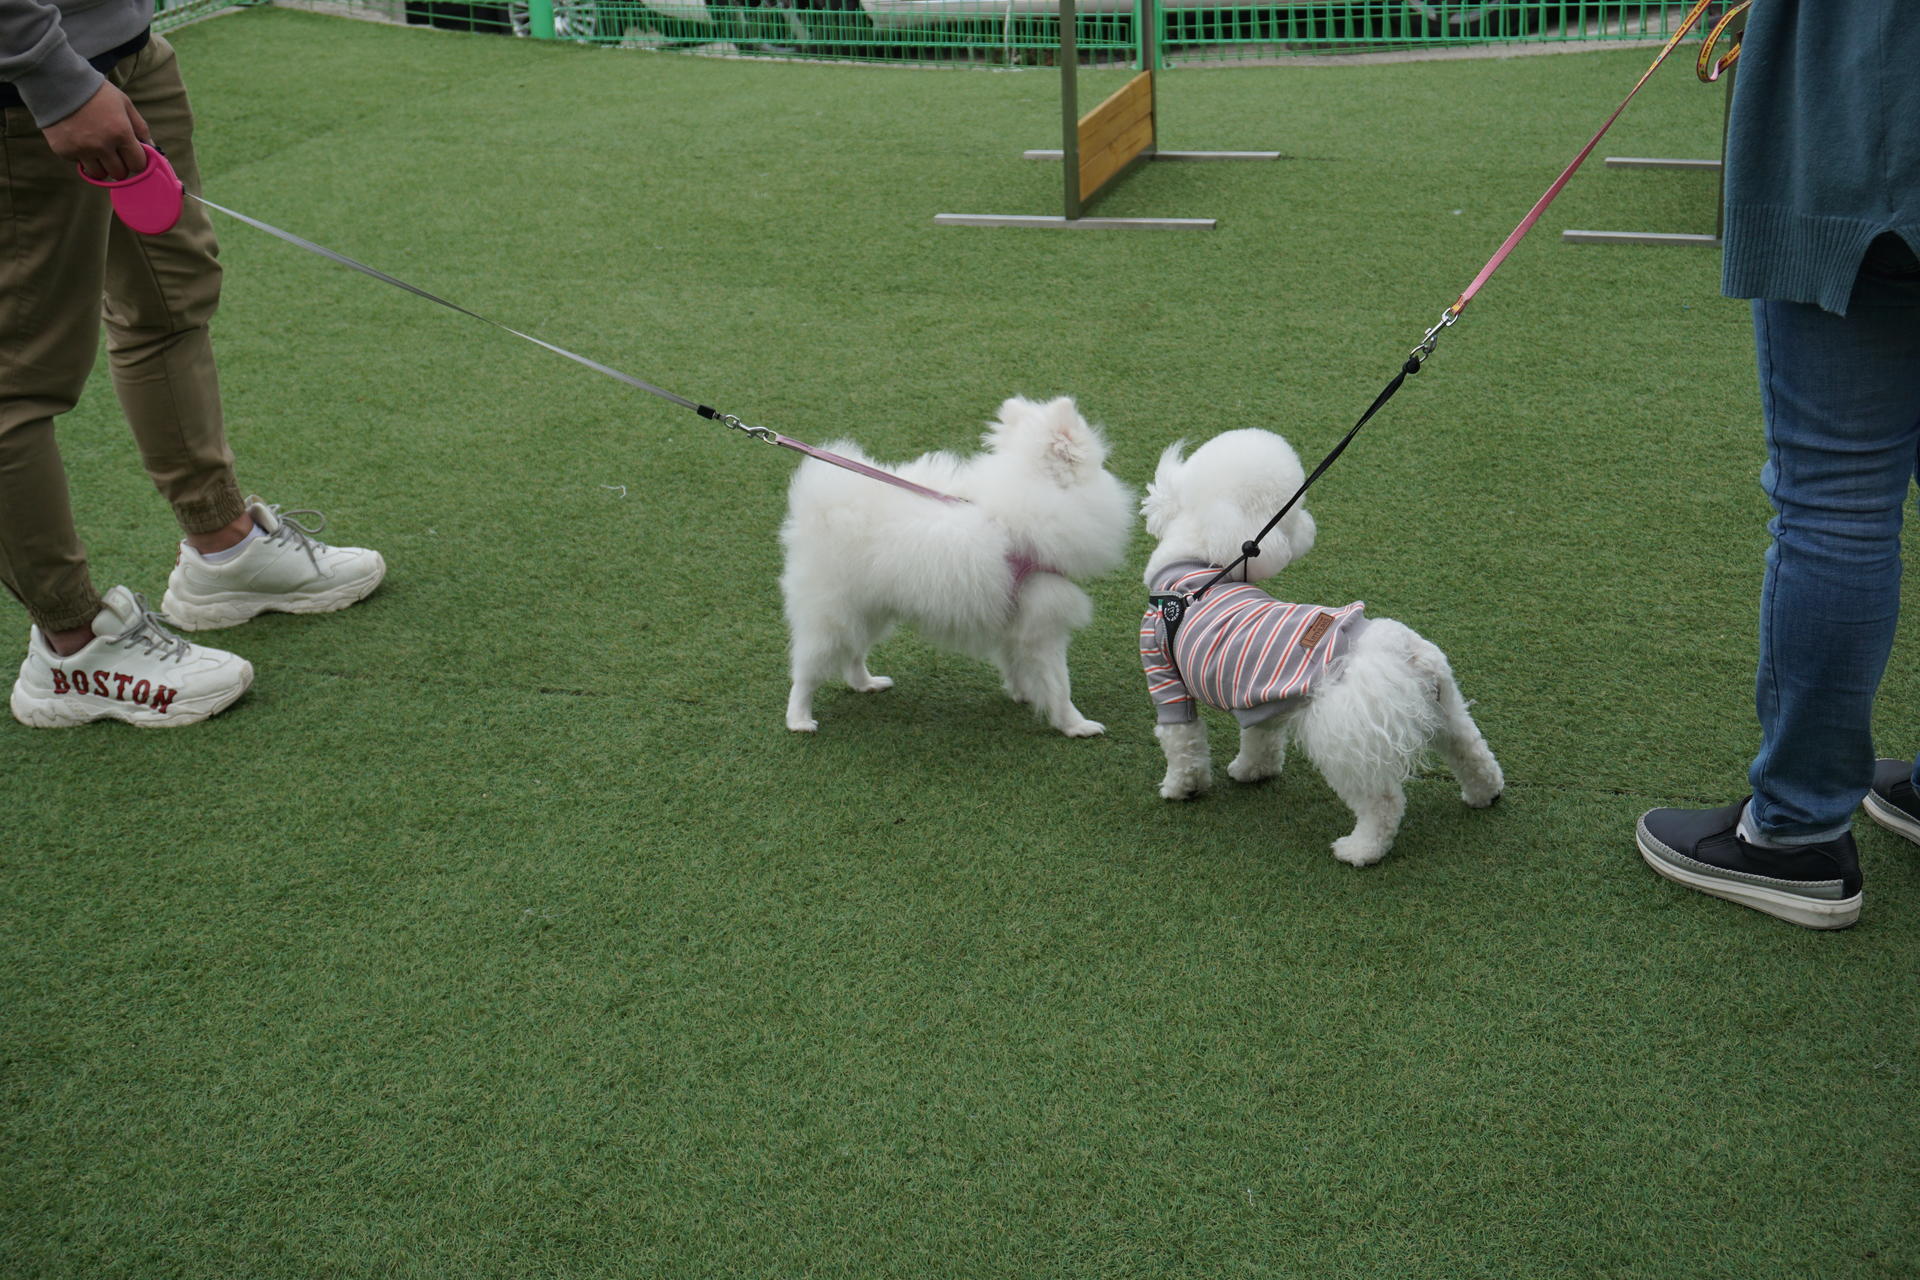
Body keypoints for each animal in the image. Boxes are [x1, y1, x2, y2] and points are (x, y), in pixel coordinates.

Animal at [780, 396, 1134, 736]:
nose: (1108, 469)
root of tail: (823, 506)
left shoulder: (1017, 617)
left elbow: (1015, 663)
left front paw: (1023, 693)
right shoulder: (1043, 621)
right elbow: (1060, 684)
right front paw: (1074, 725)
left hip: (868, 610)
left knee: (853, 653)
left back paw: (866, 684)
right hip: (832, 615)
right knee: (806, 672)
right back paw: (799, 719)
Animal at [1139, 428, 1503, 865]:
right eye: (1290, 514)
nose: (1309, 530)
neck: (1193, 570)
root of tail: (1401, 653)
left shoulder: (1165, 678)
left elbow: (1183, 743)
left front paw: (1181, 788)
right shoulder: (1257, 699)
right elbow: (1261, 741)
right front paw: (1250, 772)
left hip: (1346, 738)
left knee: (1383, 802)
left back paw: (1360, 850)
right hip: (1445, 706)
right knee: (1472, 751)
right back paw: (1485, 794)